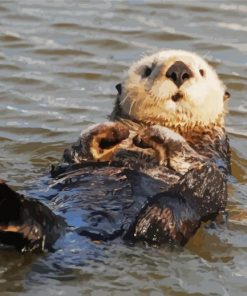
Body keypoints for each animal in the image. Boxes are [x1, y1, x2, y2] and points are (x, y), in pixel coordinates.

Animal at [0, 49, 230, 251]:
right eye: (148, 70)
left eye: (201, 71)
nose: (179, 71)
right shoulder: (75, 158)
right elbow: (80, 151)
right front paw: (116, 131)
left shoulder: (214, 152)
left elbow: (191, 157)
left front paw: (155, 133)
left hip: (194, 205)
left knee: (164, 220)